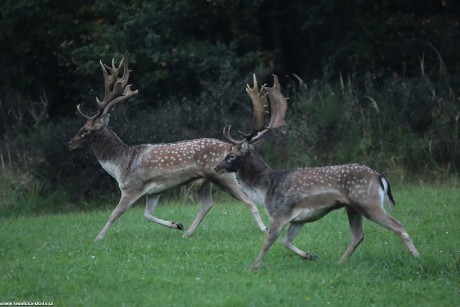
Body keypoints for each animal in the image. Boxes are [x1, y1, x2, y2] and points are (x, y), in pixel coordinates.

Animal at [67, 52, 266, 241]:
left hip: (224, 176)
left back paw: (264, 229)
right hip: (206, 180)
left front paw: (97, 238)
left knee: (248, 200)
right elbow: (147, 215)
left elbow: (114, 214)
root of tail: (229, 146)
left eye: (85, 130)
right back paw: (188, 233)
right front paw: (177, 224)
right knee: (207, 204)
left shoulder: (131, 188)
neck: (120, 165)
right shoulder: (154, 192)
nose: (70, 142)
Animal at [214, 76, 418, 270]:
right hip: (353, 207)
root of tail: (379, 177)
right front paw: (310, 256)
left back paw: (417, 256)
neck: (266, 188)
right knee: (358, 235)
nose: (216, 167)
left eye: (231, 156)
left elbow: (268, 242)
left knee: (398, 225)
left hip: (369, 202)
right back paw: (340, 263)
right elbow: (286, 242)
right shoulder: (298, 219)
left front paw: (253, 267)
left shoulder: (280, 213)